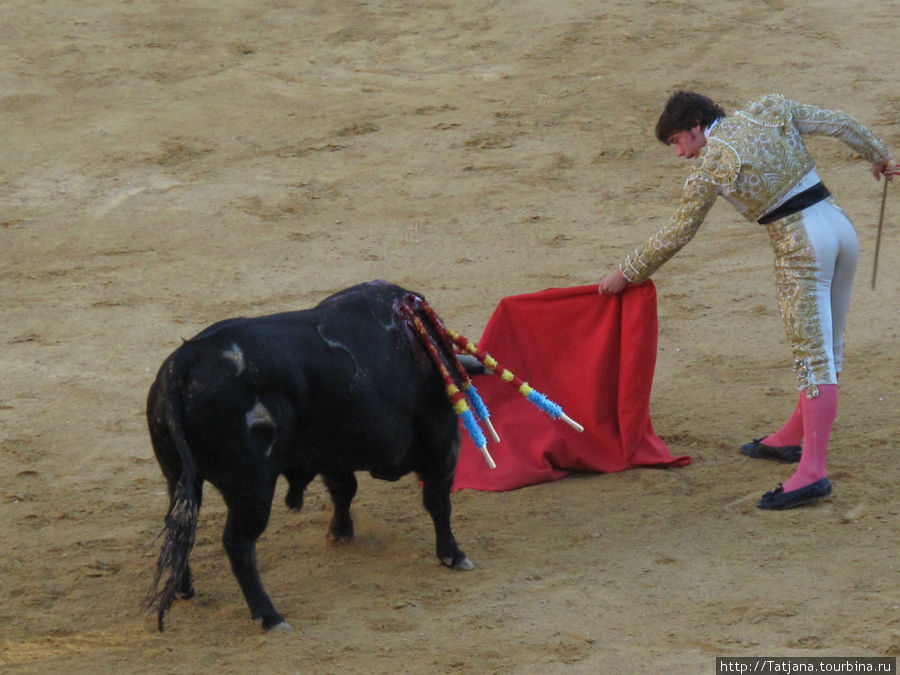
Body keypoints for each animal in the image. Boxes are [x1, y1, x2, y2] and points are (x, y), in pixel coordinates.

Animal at [146, 282, 478, 632]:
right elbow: (438, 503)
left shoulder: (332, 454)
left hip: (178, 477)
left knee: (180, 526)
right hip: (252, 487)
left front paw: (340, 533)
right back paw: (269, 616)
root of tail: (181, 367)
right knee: (238, 543)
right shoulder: (443, 445)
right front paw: (453, 555)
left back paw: (183, 589)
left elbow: (345, 490)